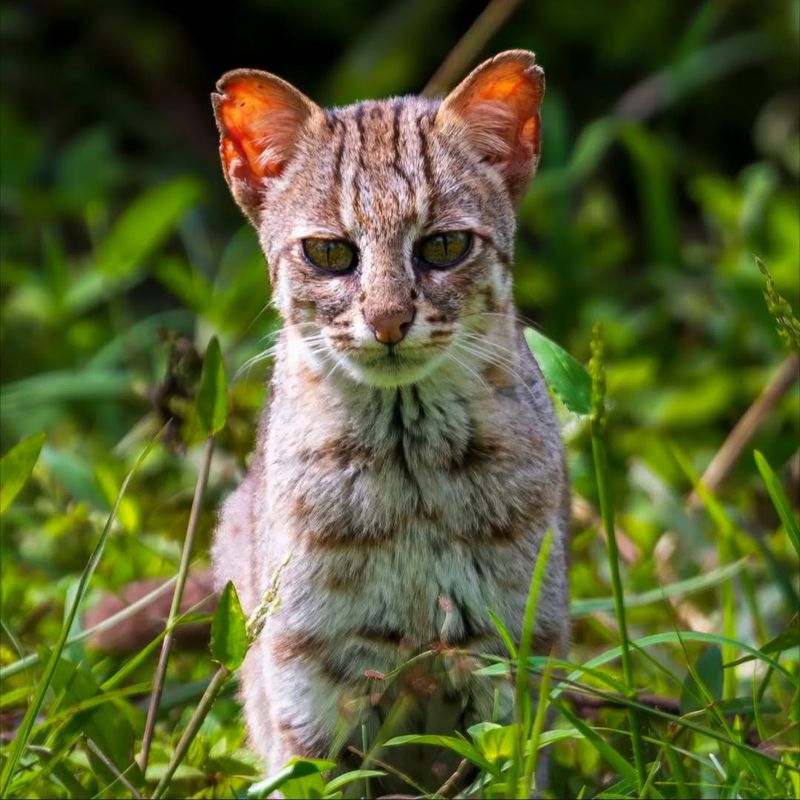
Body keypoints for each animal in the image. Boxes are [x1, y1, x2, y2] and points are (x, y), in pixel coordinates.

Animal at [209, 51, 572, 792]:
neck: (407, 462)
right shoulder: (308, 676)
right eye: (328, 253)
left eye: (445, 246)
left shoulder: (510, 659)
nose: (387, 321)